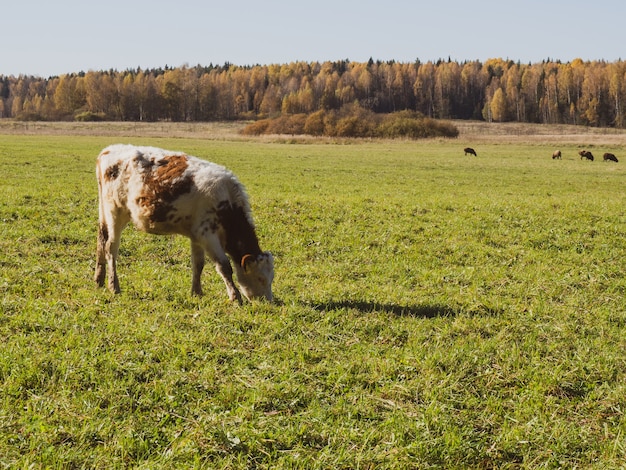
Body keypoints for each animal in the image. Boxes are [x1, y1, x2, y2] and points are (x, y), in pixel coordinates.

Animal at [94, 143, 272, 302]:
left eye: (271, 279)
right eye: (260, 278)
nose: (268, 302)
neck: (226, 200)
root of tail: (108, 150)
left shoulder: (197, 235)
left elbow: (198, 264)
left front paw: (197, 292)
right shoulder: (208, 235)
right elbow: (224, 266)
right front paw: (235, 297)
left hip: (104, 213)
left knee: (101, 241)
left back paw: (99, 279)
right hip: (115, 213)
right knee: (111, 247)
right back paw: (114, 286)